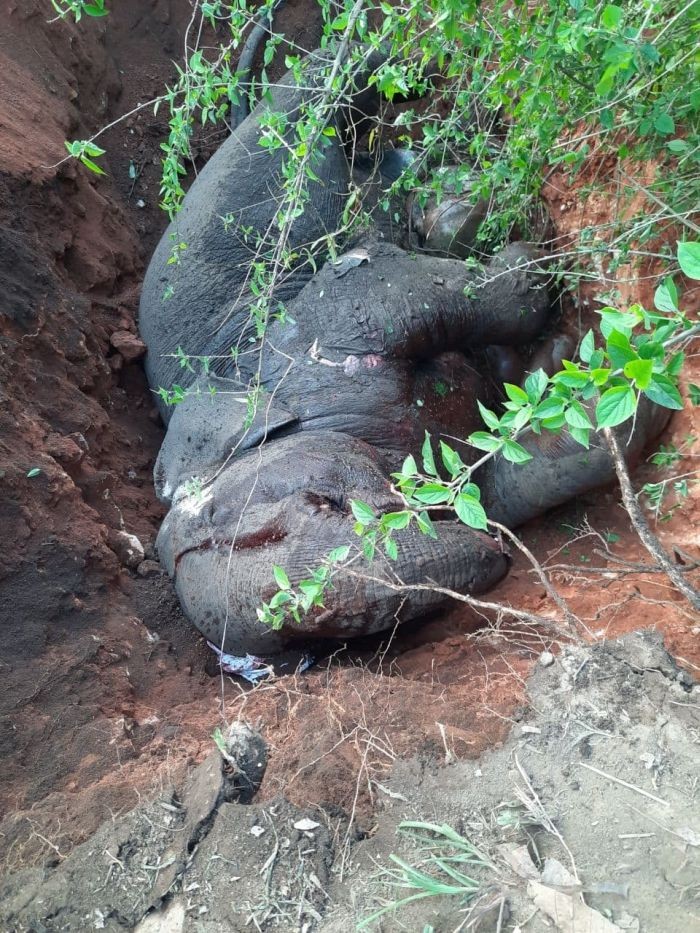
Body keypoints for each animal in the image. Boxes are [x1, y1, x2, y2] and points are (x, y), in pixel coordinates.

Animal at [139, 46, 668, 655]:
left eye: (317, 503)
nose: (499, 558)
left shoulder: (334, 313)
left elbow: (421, 293)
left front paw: (535, 265)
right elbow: (509, 479)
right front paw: (605, 382)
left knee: (319, 98)